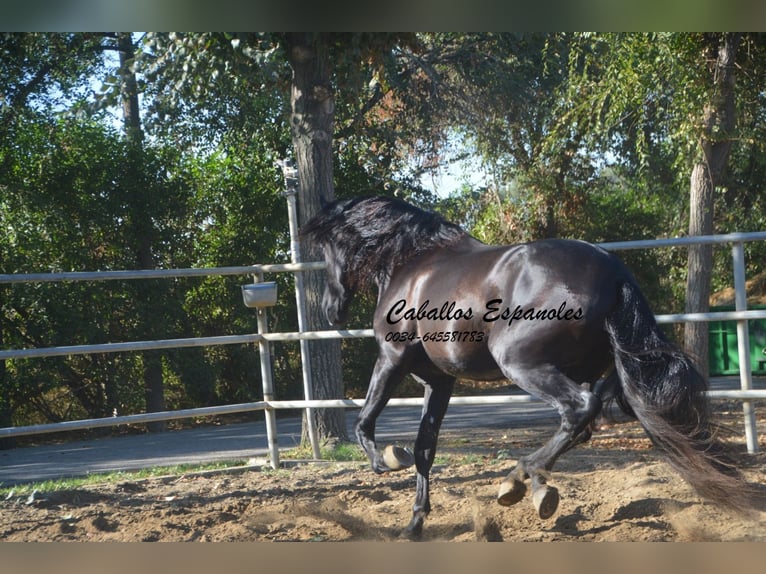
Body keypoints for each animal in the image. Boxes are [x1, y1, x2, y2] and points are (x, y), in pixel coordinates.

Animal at [300, 197, 752, 540]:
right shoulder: (439, 382)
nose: (330, 311)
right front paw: (414, 524)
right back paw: (535, 489)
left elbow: (364, 421)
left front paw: (388, 460)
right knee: (587, 419)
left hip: (520, 362)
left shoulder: (391, 358)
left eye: (327, 249)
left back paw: (518, 480)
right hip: (591, 368)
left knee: (579, 409)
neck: (411, 264)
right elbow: (426, 447)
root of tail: (614, 273)